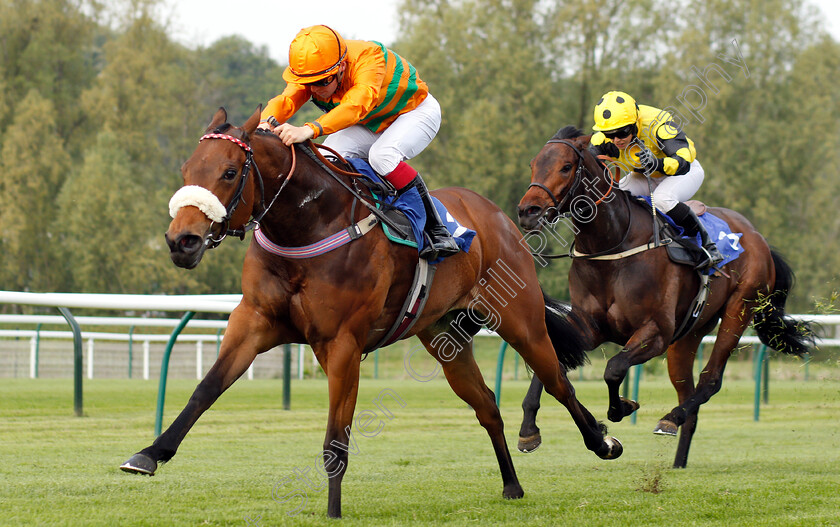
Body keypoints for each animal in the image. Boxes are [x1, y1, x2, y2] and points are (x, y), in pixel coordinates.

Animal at [123, 109, 624, 516]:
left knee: (557, 381)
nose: (181, 241)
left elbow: (336, 436)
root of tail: (500, 217)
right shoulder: (254, 322)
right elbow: (205, 390)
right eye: (186, 169)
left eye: (229, 172)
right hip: (444, 338)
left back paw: (601, 441)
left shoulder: (342, 342)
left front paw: (332, 511)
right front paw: (149, 454)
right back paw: (512, 485)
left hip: (521, 321)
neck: (307, 225)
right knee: (486, 405)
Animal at [512, 126, 812, 468]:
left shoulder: (655, 332)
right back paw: (678, 458)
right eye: (534, 164)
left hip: (739, 308)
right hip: (688, 334)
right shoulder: (589, 327)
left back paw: (671, 417)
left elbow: (613, 369)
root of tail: (757, 236)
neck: (613, 246)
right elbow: (552, 362)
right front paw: (529, 431)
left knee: (710, 379)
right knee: (688, 392)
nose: (528, 211)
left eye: (565, 167)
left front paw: (622, 408)